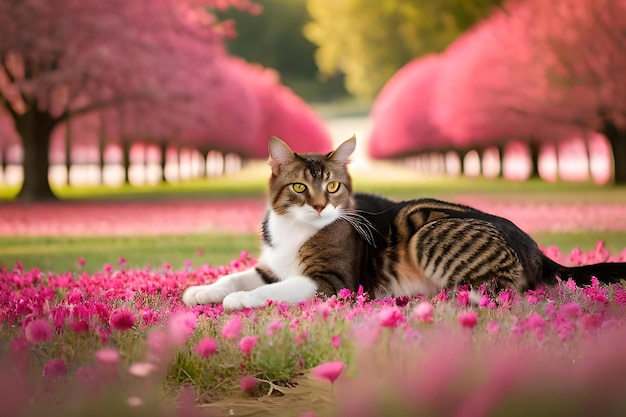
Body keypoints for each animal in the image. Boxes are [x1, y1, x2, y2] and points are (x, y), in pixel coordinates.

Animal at [182, 136, 624, 308]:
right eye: (299, 188)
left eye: (333, 186)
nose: (321, 207)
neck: (295, 230)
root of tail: (535, 248)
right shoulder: (271, 263)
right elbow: (237, 275)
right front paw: (202, 291)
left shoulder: (333, 281)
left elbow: (275, 289)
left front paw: (238, 300)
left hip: (428, 231)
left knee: (504, 291)